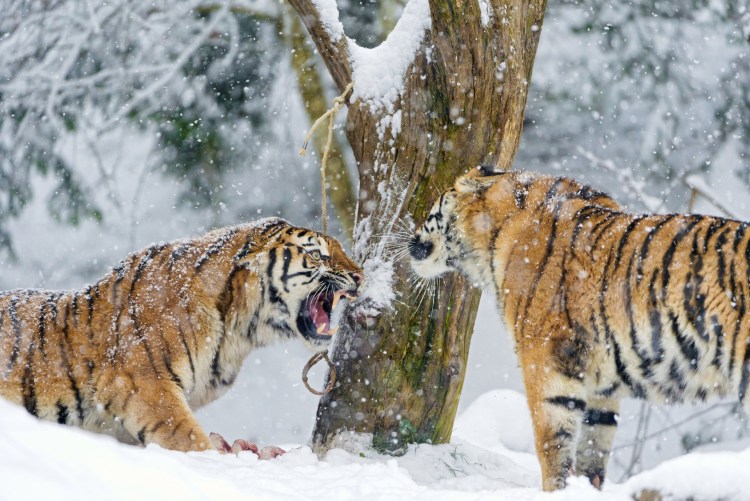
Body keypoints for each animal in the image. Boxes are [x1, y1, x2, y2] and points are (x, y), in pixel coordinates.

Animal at [408, 166, 750, 491]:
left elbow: (552, 444)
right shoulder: (602, 383)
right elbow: (593, 446)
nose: (411, 239)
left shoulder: (544, 359)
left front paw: (554, 489)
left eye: (432, 210)